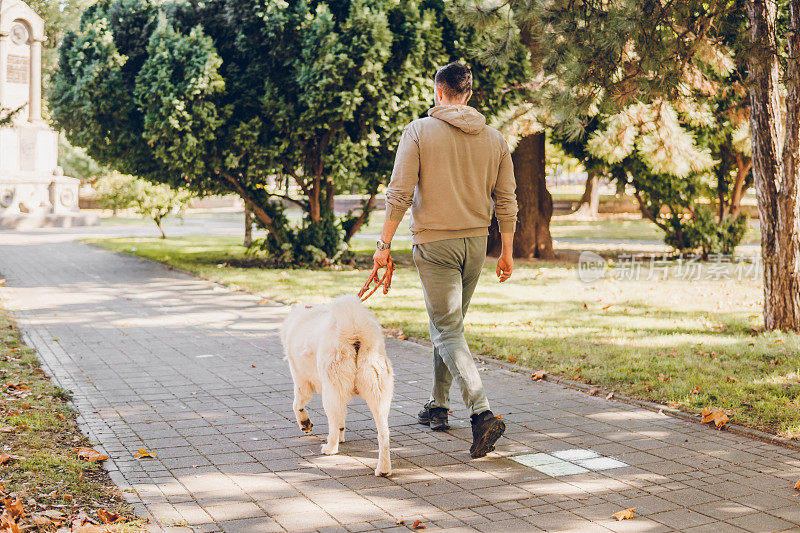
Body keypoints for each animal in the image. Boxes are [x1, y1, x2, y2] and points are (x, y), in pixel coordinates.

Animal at [280, 296, 396, 474]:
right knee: (384, 434)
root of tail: (354, 333)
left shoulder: (301, 382)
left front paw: (305, 423)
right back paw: (383, 469)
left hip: (331, 391)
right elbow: (342, 417)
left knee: (333, 424)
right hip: (378, 395)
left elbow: (296, 405)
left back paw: (329, 448)